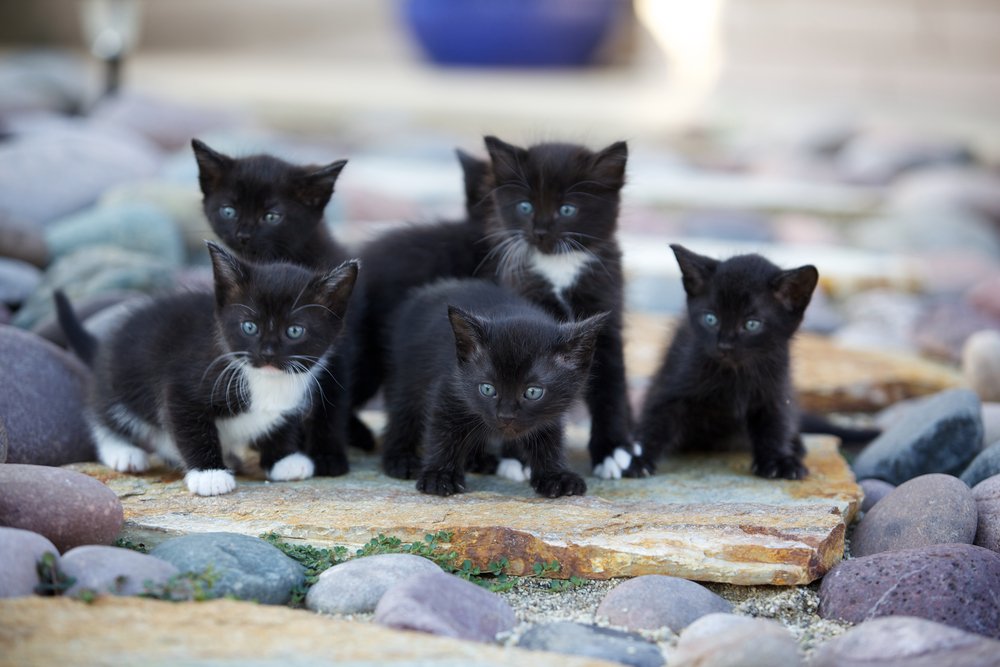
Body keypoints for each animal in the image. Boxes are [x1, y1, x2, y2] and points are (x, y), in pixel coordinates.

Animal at [55, 240, 360, 496]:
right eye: (249, 327)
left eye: (295, 331)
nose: (267, 353)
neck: (265, 380)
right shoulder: (184, 386)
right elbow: (191, 427)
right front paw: (209, 474)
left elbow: (281, 424)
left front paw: (283, 459)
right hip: (121, 378)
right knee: (104, 413)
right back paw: (123, 451)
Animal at [380, 280, 600, 498]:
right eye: (487, 389)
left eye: (533, 392)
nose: (506, 416)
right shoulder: (450, 387)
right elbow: (443, 433)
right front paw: (439, 475)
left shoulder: (550, 411)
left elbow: (549, 438)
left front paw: (556, 476)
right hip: (407, 373)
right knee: (404, 414)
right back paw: (401, 459)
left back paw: (476, 459)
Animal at [480, 137, 644, 480]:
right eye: (525, 207)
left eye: (567, 209)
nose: (541, 232)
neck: (560, 268)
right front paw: (518, 456)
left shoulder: (605, 320)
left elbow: (611, 389)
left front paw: (613, 451)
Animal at [636, 245, 816, 480]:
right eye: (711, 319)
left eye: (751, 324)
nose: (724, 345)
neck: (735, 374)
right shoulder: (674, 379)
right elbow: (657, 418)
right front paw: (636, 457)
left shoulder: (775, 387)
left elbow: (775, 423)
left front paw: (779, 460)